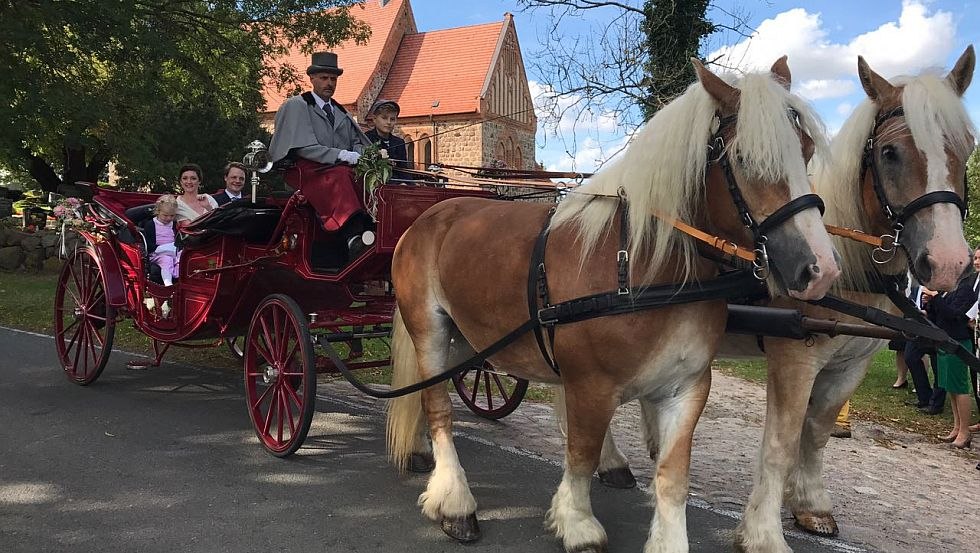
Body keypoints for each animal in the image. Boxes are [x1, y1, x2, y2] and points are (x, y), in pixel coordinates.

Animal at [386, 56, 840, 552]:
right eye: (745, 159)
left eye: (807, 149)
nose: (819, 269)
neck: (640, 268)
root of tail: (430, 216)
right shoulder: (590, 386)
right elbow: (581, 456)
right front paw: (577, 523)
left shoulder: (686, 388)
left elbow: (672, 478)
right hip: (430, 329)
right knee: (438, 408)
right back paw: (454, 500)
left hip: (471, 339)